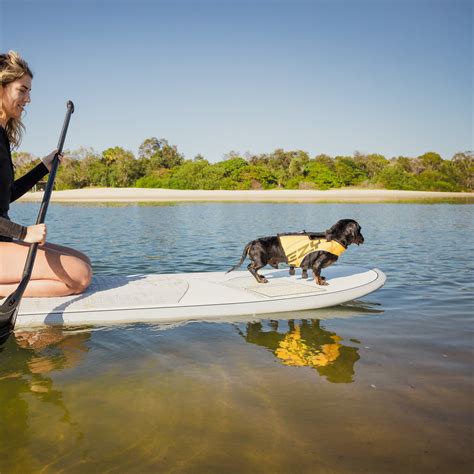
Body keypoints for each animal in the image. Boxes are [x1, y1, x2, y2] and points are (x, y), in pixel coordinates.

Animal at [228, 219, 364, 286]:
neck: (334, 238)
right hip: (261, 261)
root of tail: (252, 242)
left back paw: (261, 277)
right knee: (250, 268)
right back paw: (260, 280)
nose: (363, 239)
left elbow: (317, 273)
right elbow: (317, 273)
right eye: (359, 230)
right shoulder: (317, 264)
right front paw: (321, 282)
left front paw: (321, 279)